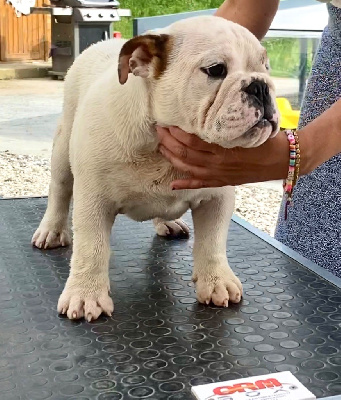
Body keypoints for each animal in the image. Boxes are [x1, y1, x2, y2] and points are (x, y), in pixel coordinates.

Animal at [31, 15, 278, 322]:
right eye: (216, 70)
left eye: (266, 67)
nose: (261, 85)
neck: (159, 153)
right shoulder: (93, 201)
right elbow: (91, 248)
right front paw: (86, 294)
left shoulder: (217, 198)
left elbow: (212, 242)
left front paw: (216, 280)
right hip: (64, 144)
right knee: (60, 188)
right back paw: (52, 230)